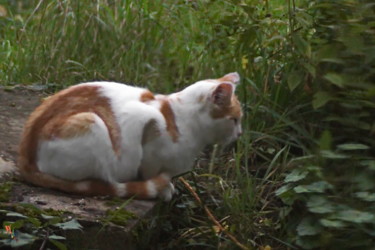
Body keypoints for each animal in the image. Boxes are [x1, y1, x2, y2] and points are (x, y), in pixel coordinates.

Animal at [17, 72, 244, 201]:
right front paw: (163, 188)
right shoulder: (145, 120)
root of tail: (25, 159)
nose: (240, 133)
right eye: (234, 120)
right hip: (92, 122)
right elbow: (149, 170)